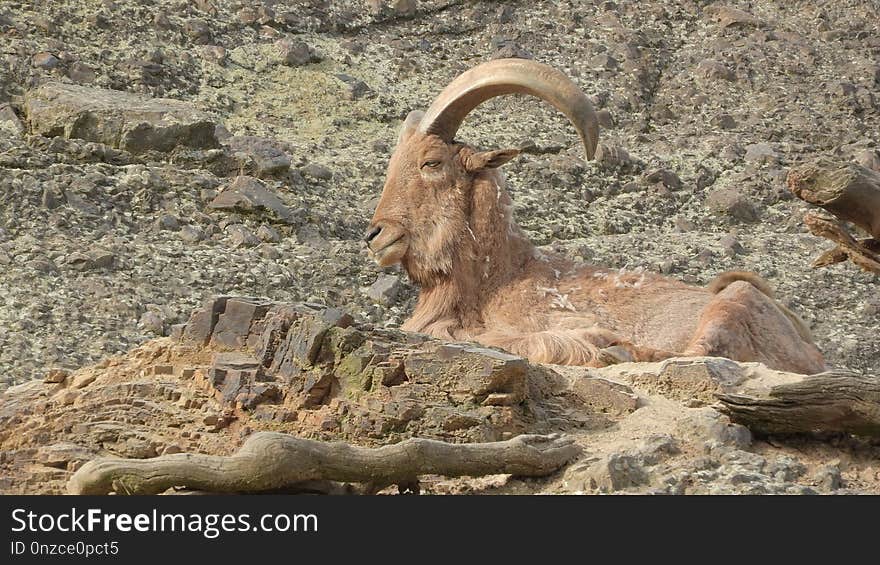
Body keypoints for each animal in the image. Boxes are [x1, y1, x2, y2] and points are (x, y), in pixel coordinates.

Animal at [362, 58, 824, 374]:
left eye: (432, 163)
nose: (375, 234)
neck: (499, 279)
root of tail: (809, 350)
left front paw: (590, 340)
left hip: (732, 303)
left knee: (699, 354)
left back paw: (614, 349)